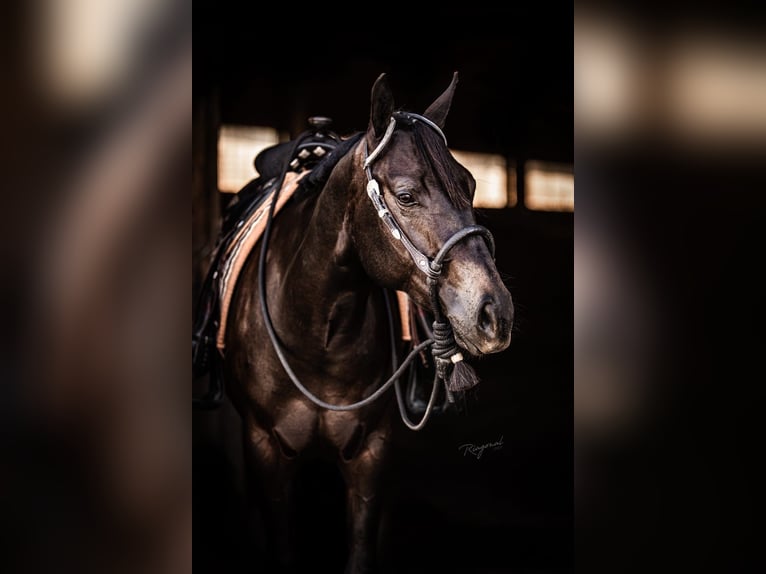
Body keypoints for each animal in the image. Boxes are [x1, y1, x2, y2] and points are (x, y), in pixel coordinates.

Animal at [220, 72, 514, 573]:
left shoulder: (371, 453)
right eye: (406, 196)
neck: (318, 332)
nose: (495, 312)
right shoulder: (266, 451)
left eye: (472, 184)